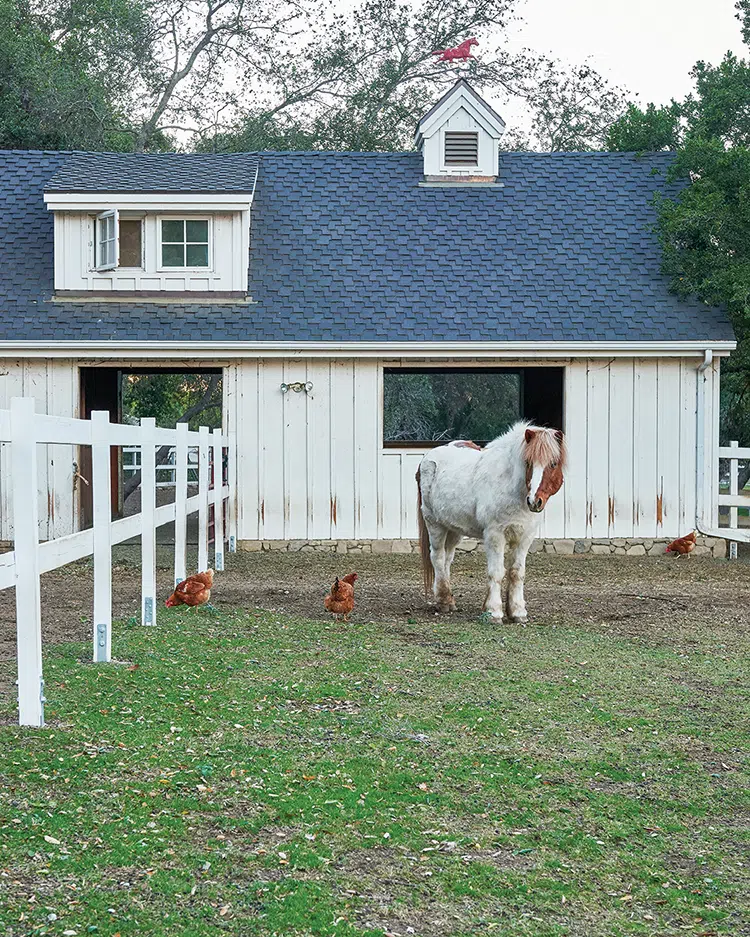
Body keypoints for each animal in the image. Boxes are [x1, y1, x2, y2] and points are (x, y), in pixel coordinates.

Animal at [414, 422, 568, 620]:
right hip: (435, 524)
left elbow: (517, 572)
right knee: (438, 558)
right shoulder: (495, 535)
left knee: (447, 559)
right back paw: (443, 602)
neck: (510, 486)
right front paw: (494, 611)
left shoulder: (524, 537)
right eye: (528, 463)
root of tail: (426, 459)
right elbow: (496, 572)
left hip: (454, 530)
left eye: (553, 464)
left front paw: (518, 611)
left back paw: (449, 599)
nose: (535, 501)